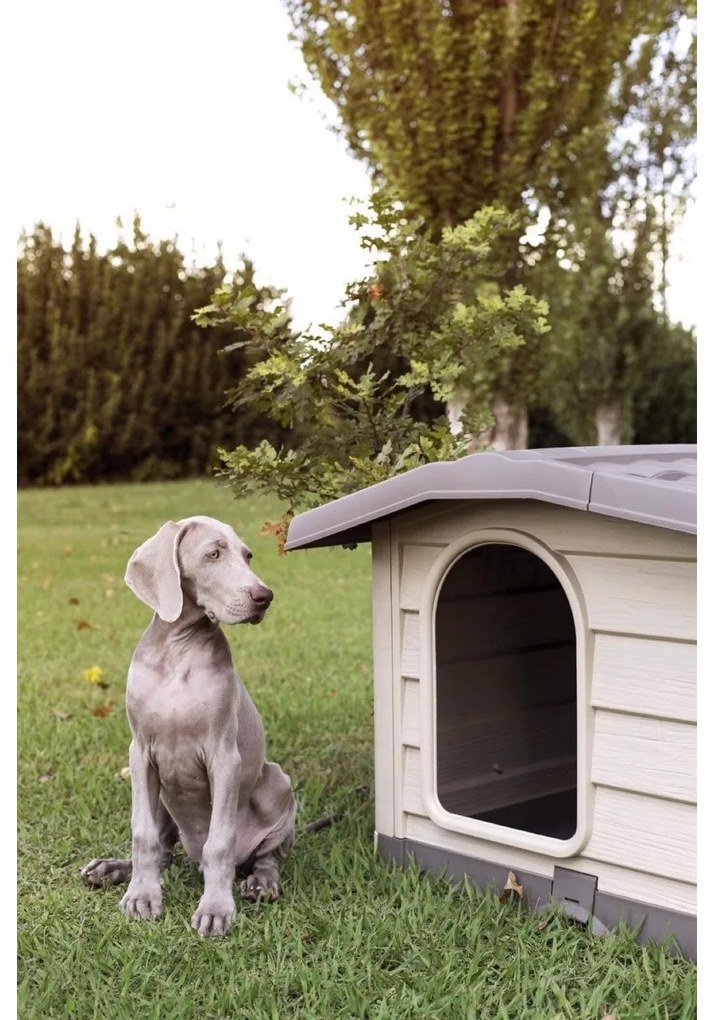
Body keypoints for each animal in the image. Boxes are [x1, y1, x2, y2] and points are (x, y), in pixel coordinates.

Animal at [80, 514, 295, 934]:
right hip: (163, 796)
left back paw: (261, 882)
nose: (265, 596)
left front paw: (216, 907)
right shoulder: (140, 754)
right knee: (164, 850)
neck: (178, 649)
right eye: (213, 554)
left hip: (278, 782)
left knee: (267, 856)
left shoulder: (224, 758)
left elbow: (220, 844)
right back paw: (111, 868)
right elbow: (143, 835)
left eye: (247, 556)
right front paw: (141, 895)